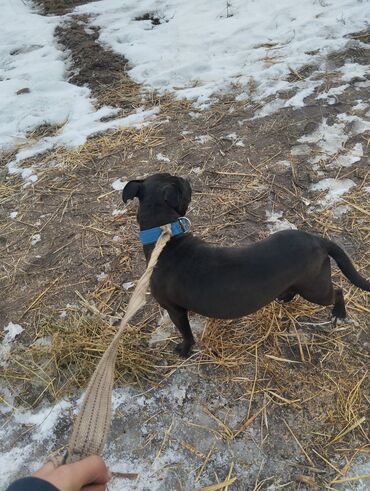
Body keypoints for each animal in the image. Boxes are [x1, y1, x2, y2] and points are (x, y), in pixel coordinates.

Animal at [123, 173, 370, 358]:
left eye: (180, 182)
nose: (186, 177)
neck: (165, 238)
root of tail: (317, 239)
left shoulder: (174, 309)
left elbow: (186, 333)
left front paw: (184, 350)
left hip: (315, 288)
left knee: (338, 291)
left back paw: (338, 313)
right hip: (303, 282)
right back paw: (286, 296)